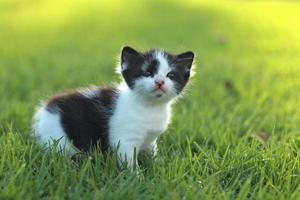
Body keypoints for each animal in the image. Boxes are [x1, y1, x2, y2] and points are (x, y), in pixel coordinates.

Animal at [31, 46, 193, 168]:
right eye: (147, 73)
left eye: (170, 75)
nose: (159, 82)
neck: (150, 106)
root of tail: (44, 110)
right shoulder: (124, 140)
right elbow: (129, 161)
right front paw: (136, 178)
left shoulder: (150, 141)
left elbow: (151, 153)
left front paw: (159, 165)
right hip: (56, 139)